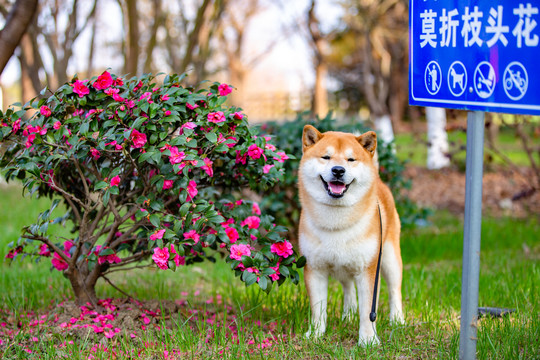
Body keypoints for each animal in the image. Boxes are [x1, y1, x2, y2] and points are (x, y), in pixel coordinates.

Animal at [298, 126, 402, 346]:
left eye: (351, 159)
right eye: (326, 157)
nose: (338, 170)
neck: (337, 222)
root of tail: (378, 180)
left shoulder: (369, 270)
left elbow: (368, 311)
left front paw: (368, 340)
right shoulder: (314, 268)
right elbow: (318, 310)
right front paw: (316, 334)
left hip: (389, 258)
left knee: (394, 290)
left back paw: (398, 319)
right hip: (343, 266)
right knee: (347, 287)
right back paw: (348, 315)